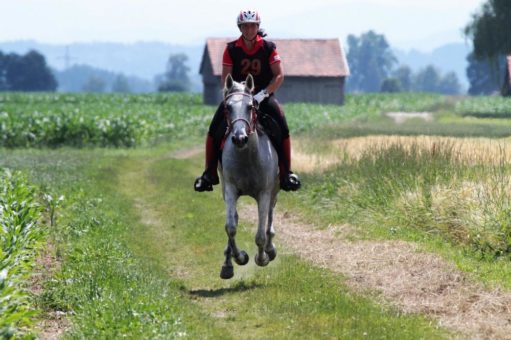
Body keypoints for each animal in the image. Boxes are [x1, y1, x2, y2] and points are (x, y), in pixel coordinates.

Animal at [217, 73, 278, 278]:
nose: (239, 138)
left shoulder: (264, 193)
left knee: (270, 217)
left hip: (275, 191)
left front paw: (262, 258)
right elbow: (230, 227)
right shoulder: (230, 190)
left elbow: (260, 234)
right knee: (234, 219)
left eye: (250, 106)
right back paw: (228, 261)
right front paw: (238, 258)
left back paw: (271, 249)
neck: (247, 158)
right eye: (228, 107)